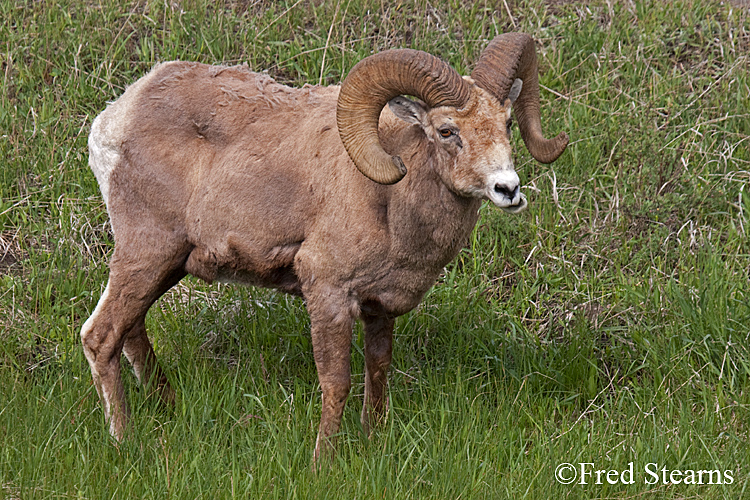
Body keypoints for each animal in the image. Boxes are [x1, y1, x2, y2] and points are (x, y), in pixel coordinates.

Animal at [81, 32, 568, 463]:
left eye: (507, 123)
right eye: (447, 131)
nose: (508, 189)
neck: (391, 200)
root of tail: (114, 121)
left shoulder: (378, 308)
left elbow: (377, 371)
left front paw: (373, 441)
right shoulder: (329, 293)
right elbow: (337, 382)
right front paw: (323, 464)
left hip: (167, 266)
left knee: (132, 331)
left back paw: (168, 408)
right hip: (147, 254)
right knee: (100, 336)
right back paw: (124, 441)